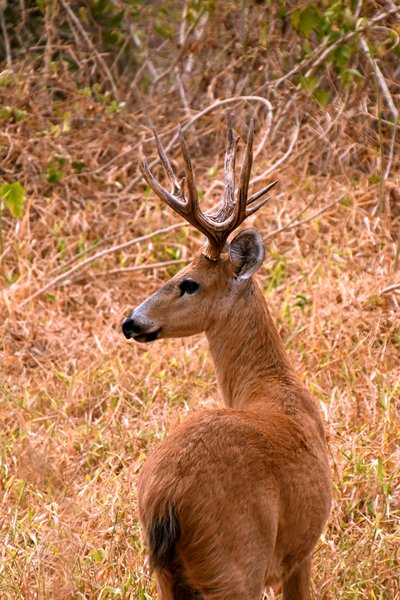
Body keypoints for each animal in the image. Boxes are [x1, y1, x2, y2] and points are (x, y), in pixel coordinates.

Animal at [122, 118, 332, 600]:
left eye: (188, 282)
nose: (129, 322)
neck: (273, 385)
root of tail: (166, 498)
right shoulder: (301, 549)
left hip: (170, 577)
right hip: (236, 565)